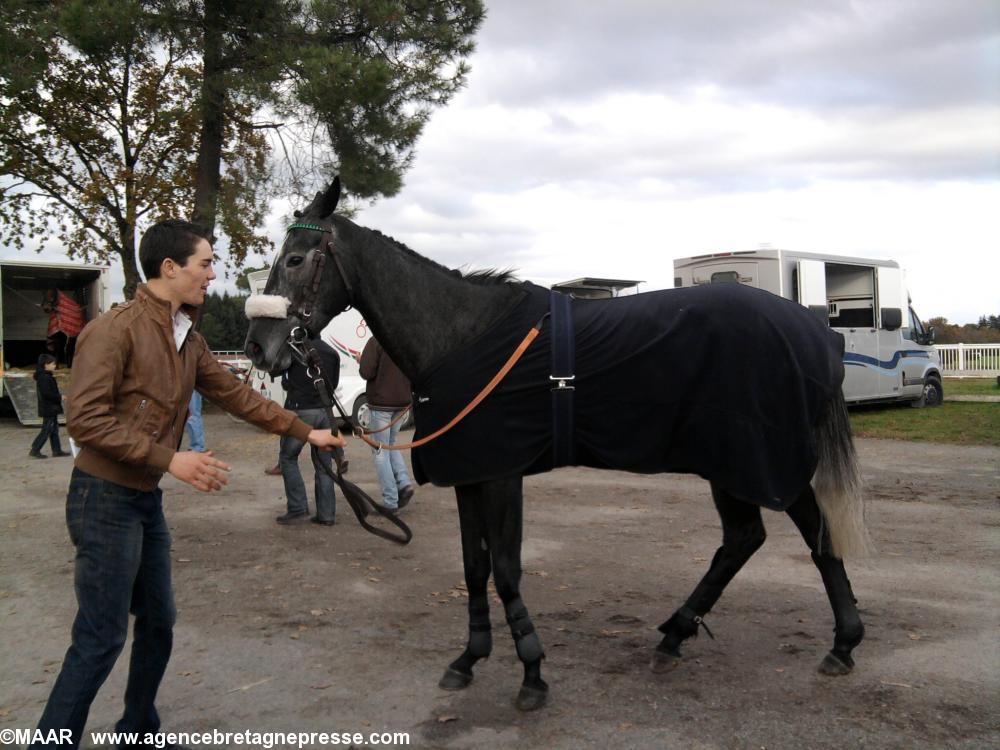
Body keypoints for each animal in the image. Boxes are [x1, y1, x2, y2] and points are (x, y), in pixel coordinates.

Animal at [242, 179, 868, 712]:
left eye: (295, 259)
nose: (256, 347)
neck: (462, 336)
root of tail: (815, 333)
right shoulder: (469, 474)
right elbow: (474, 566)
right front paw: (469, 658)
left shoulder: (500, 473)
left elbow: (506, 570)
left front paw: (532, 672)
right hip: (731, 462)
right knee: (746, 539)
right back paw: (679, 634)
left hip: (756, 457)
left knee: (806, 532)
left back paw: (841, 643)